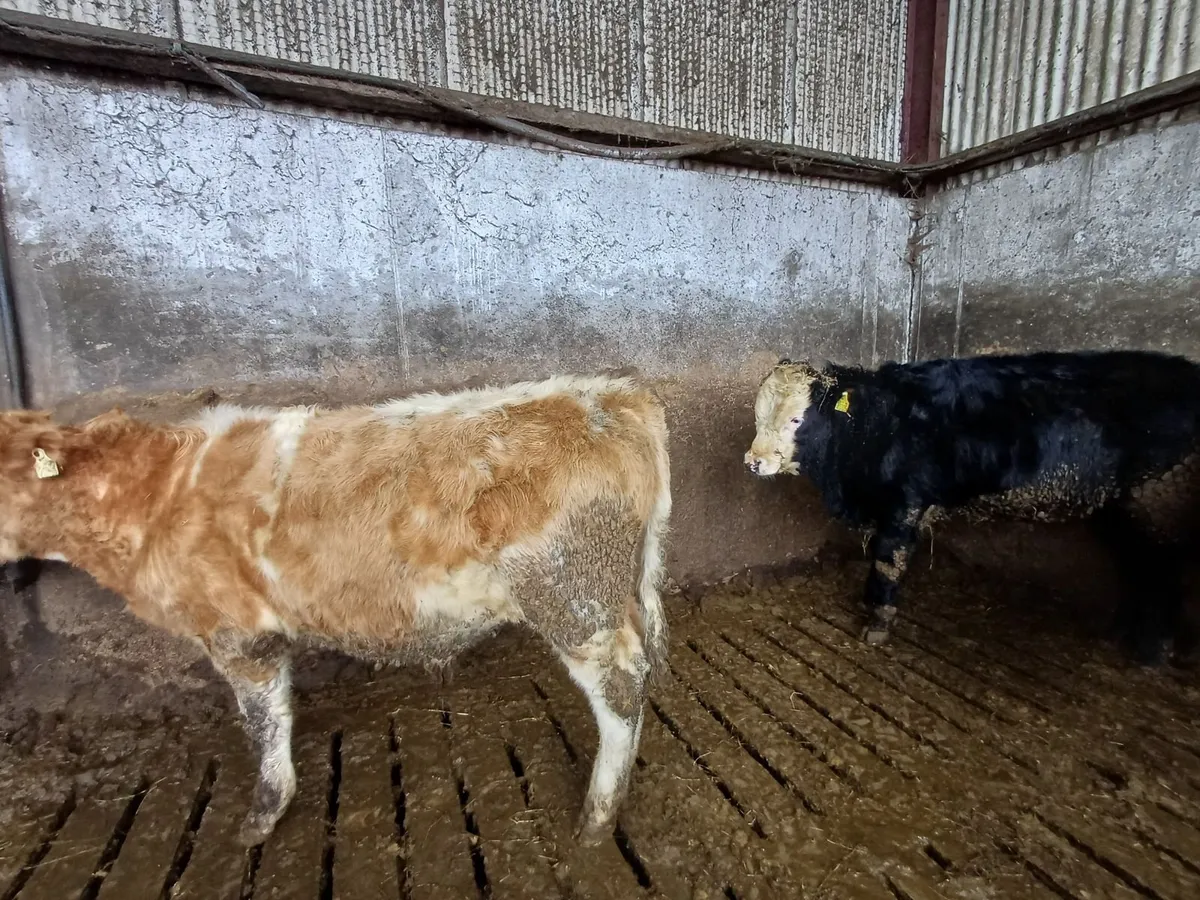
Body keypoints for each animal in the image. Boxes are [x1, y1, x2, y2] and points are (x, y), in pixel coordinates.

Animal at [0, 373, 671, 845]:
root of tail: (617, 395)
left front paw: (261, 818)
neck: (157, 492)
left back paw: (597, 818)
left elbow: (265, 726)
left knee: (621, 685)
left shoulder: (240, 636)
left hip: (574, 596)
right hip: (622, 591)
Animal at [744, 351, 1200, 665]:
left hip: (1154, 506)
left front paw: (877, 623)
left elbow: (887, 564)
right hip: (1117, 508)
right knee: (1139, 568)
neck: (878, 427)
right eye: (758, 415)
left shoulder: (905, 506)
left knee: (1161, 572)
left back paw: (1153, 651)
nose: (753, 461)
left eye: (797, 420)